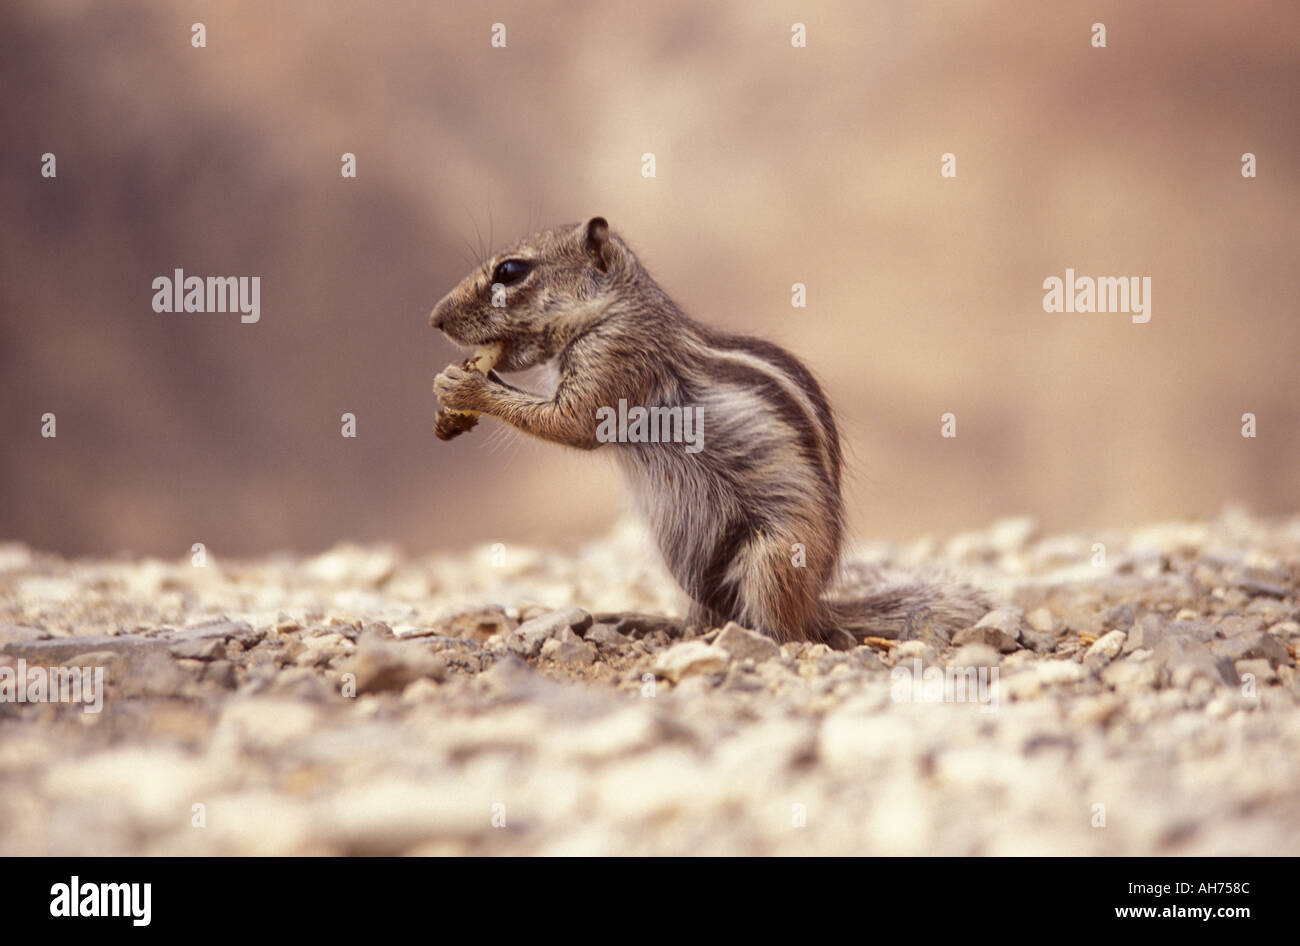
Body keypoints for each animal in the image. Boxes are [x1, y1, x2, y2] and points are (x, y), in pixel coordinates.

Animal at [431, 217, 989, 648]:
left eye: (510, 271)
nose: (434, 319)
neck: (612, 310)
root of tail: (816, 601)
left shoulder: (616, 362)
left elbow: (572, 423)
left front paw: (464, 387)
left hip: (773, 556)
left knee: (788, 631)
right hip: (686, 561)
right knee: (704, 614)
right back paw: (646, 622)